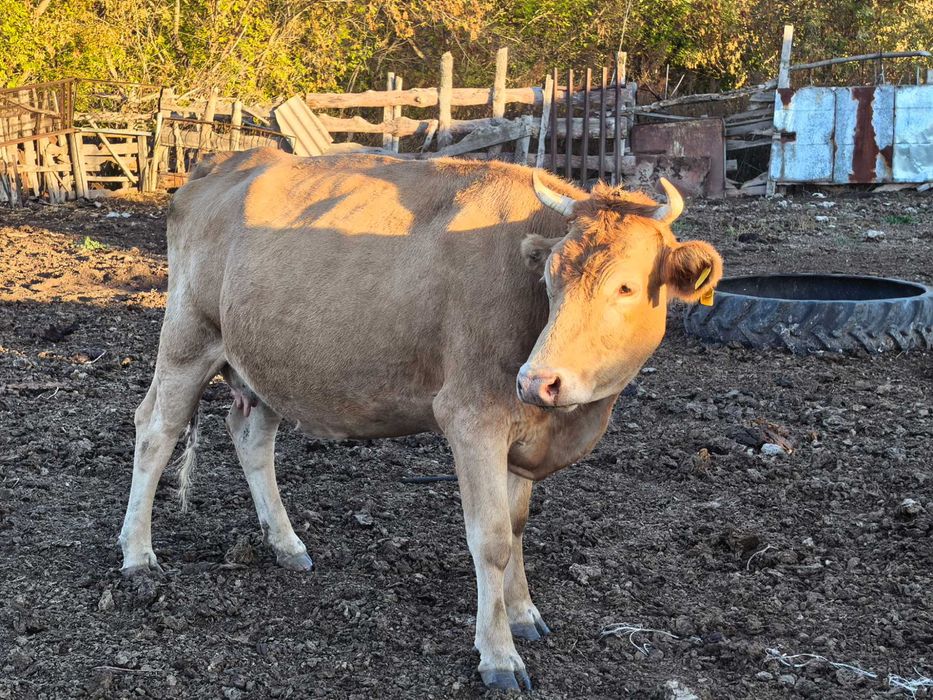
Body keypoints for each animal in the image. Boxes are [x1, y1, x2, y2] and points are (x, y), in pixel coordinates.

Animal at [119, 148, 722, 691]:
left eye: (625, 285)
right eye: (551, 278)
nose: (537, 381)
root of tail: (229, 161)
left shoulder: (519, 435)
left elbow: (517, 525)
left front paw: (523, 613)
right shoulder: (472, 417)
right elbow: (492, 538)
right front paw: (498, 654)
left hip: (266, 362)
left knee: (250, 437)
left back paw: (286, 544)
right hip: (187, 338)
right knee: (154, 431)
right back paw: (138, 554)